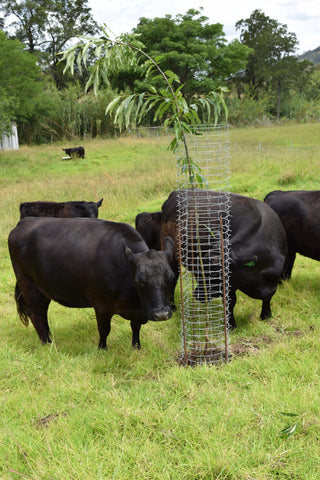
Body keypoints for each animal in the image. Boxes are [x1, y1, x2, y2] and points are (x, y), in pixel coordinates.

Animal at [7, 218, 175, 348]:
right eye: (139, 281)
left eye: (171, 277)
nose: (161, 314)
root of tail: (25, 221)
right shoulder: (101, 305)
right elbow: (104, 330)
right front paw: (102, 349)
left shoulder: (138, 310)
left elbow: (135, 327)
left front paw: (136, 347)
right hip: (28, 284)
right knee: (36, 313)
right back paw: (47, 344)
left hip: (43, 289)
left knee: (42, 313)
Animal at [136, 189, 286, 328]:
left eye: (214, 273)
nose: (197, 294)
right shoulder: (229, 286)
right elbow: (230, 302)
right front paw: (231, 325)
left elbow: (268, 297)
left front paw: (266, 315)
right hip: (172, 256)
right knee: (172, 281)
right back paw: (172, 306)